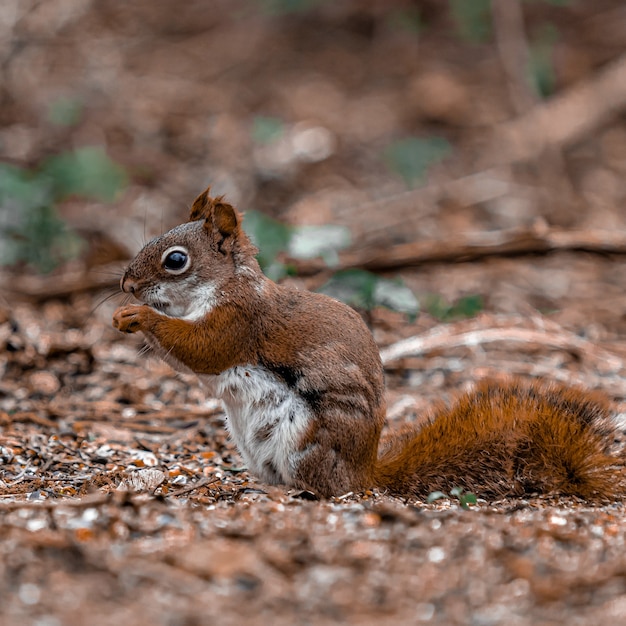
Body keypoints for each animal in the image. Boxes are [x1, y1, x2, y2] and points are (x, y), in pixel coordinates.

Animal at [113, 188, 624, 500]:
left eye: (175, 260)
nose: (127, 285)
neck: (225, 283)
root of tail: (365, 474)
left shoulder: (240, 322)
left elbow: (202, 347)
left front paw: (140, 316)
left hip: (305, 440)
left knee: (324, 488)